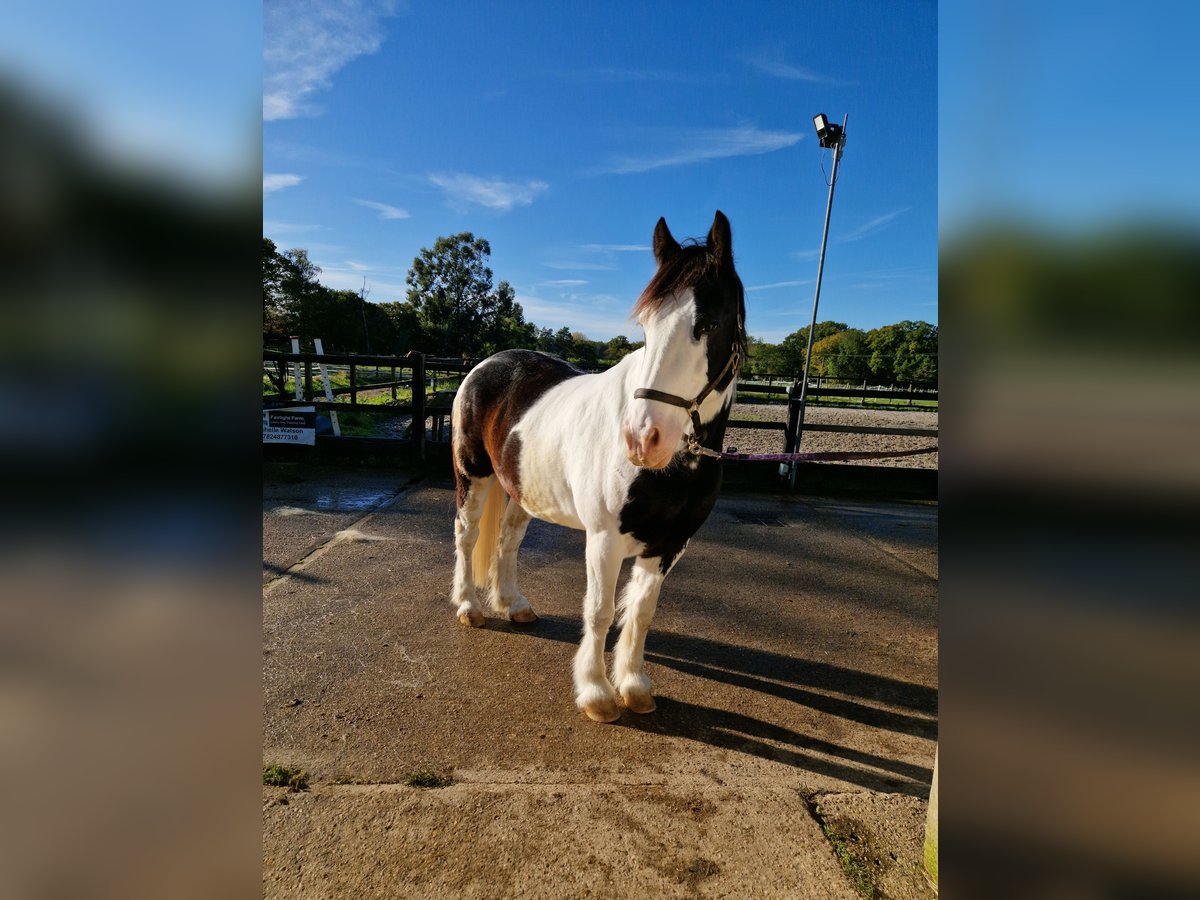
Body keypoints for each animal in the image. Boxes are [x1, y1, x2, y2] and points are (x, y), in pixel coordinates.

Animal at [451, 211, 744, 724]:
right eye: (645, 327)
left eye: (709, 322)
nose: (643, 439)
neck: (674, 471)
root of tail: (485, 364)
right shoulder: (604, 540)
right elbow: (600, 611)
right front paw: (597, 693)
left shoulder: (668, 545)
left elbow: (640, 613)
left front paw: (634, 685)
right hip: (475, 477)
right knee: (467, 538)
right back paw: (470, 606)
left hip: (520, 490)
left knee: (507, 541)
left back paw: (513, 603)